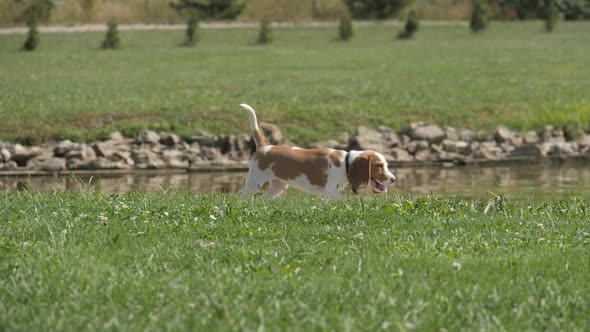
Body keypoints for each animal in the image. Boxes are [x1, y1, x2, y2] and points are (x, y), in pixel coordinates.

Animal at [239, 104, 398, 200]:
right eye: (379, 166)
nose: (394, 179)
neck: (346, 163)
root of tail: (264, 147)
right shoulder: (331, 191)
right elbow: (344, 200)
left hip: (278, 186)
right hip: (255, 182)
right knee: (241, 194)